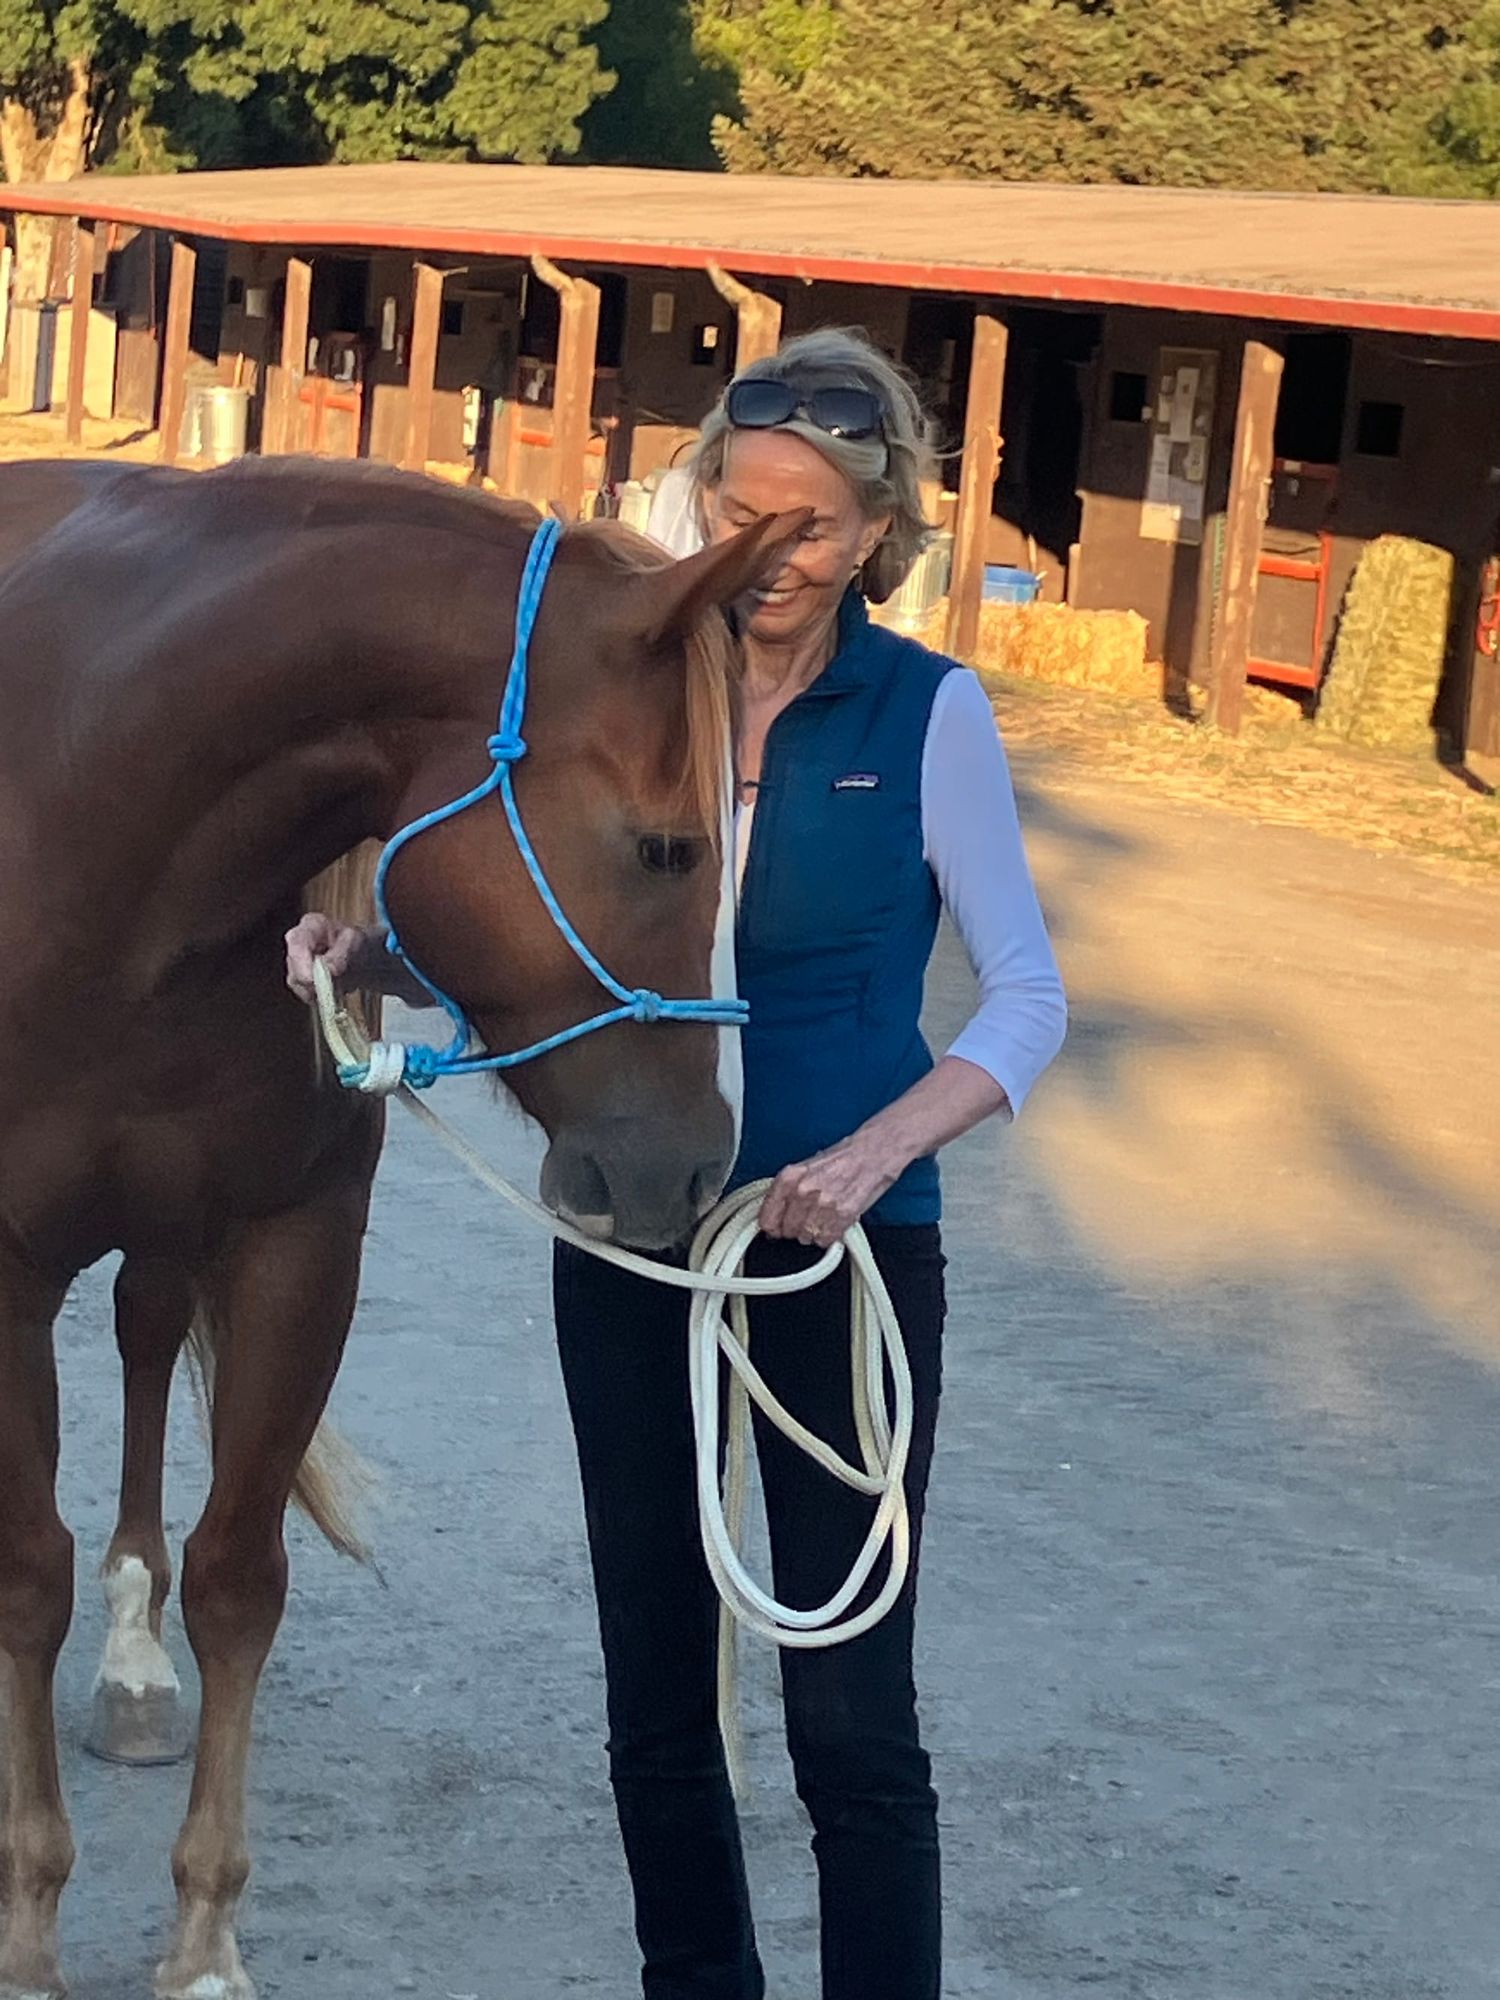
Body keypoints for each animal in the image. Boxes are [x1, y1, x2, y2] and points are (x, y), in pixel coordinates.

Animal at [0, 455, 805, 2000]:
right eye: (667, 849)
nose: (690, 1170)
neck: (86, 814)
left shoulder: (295, 1237)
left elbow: (239, 1577)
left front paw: (203, 1941)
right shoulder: (1, 1275)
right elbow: (25, 1577)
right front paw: (26, 1931)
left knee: (144, 1340)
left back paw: (134, 1659)